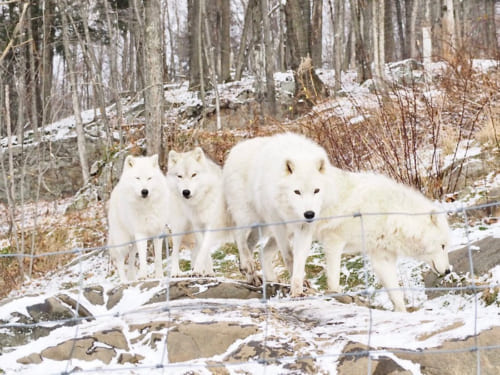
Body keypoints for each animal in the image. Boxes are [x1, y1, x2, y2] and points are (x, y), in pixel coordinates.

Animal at [168, 147, 230, 276]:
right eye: (179, 176)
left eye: (194, 174)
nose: (186, 192)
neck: (200, 201)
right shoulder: (197, 225)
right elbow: (204, 248)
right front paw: (202, 270)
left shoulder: (211, 224)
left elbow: (204, 249)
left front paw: (205, 271)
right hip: (179, 227)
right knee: (175, 250)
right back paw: (175, 272)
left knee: (194, 250)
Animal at [316, 170, 454, 312]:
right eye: (443, 246)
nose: (448, 271)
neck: (388, 215)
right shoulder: (334, 239)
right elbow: (334, 275)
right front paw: (337, 294)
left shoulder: (382, 257)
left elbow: (395, 291)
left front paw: (401, 311)